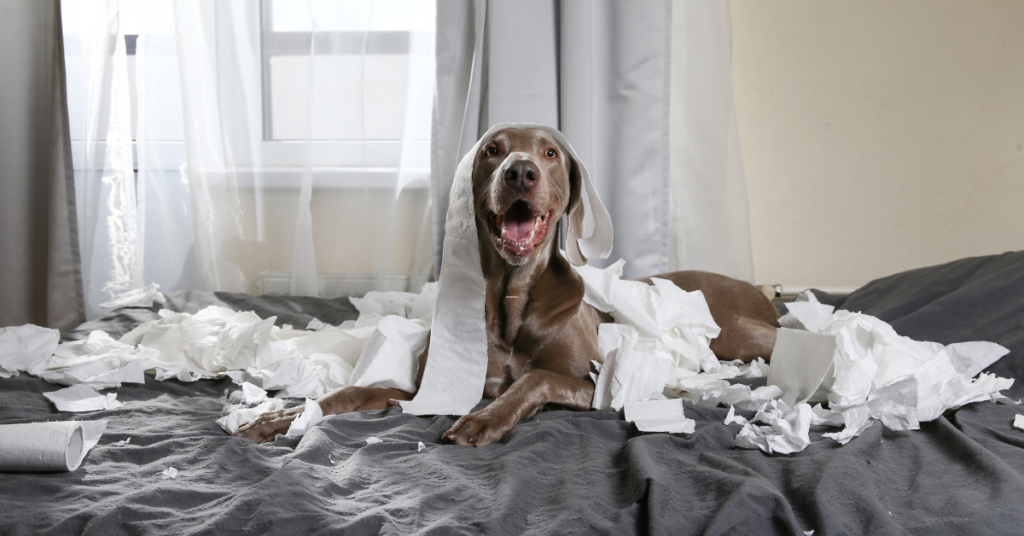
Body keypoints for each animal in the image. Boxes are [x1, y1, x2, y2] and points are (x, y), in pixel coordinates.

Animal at [234, 128, 774, 446]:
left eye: (550, 153)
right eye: (493, 150)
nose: (520, 171)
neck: (512, 297)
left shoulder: (597, 383)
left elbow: (534, 379)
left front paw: (483, 419)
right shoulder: (425, 387)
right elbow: (348, 391)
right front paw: (281, 418)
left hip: (738, 334)